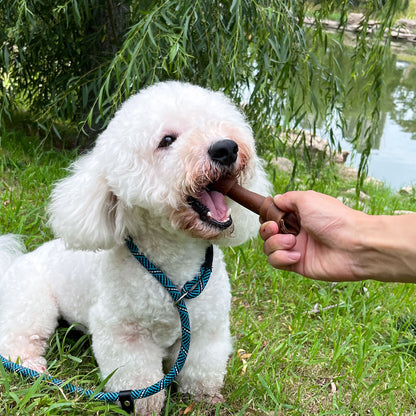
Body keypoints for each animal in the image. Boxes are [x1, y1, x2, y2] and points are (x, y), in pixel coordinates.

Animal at [0, 81, 270, 416]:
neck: (175, 268)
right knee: (16, 339)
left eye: (217, 123)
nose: (226, 148)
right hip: (33, 302)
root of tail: (14, 263)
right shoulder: (124, 334)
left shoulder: (207, 329)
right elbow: (139, 378)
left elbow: (201, 369)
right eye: (167, 140)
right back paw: (32, 368)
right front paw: (147, 406)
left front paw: (205, 399)